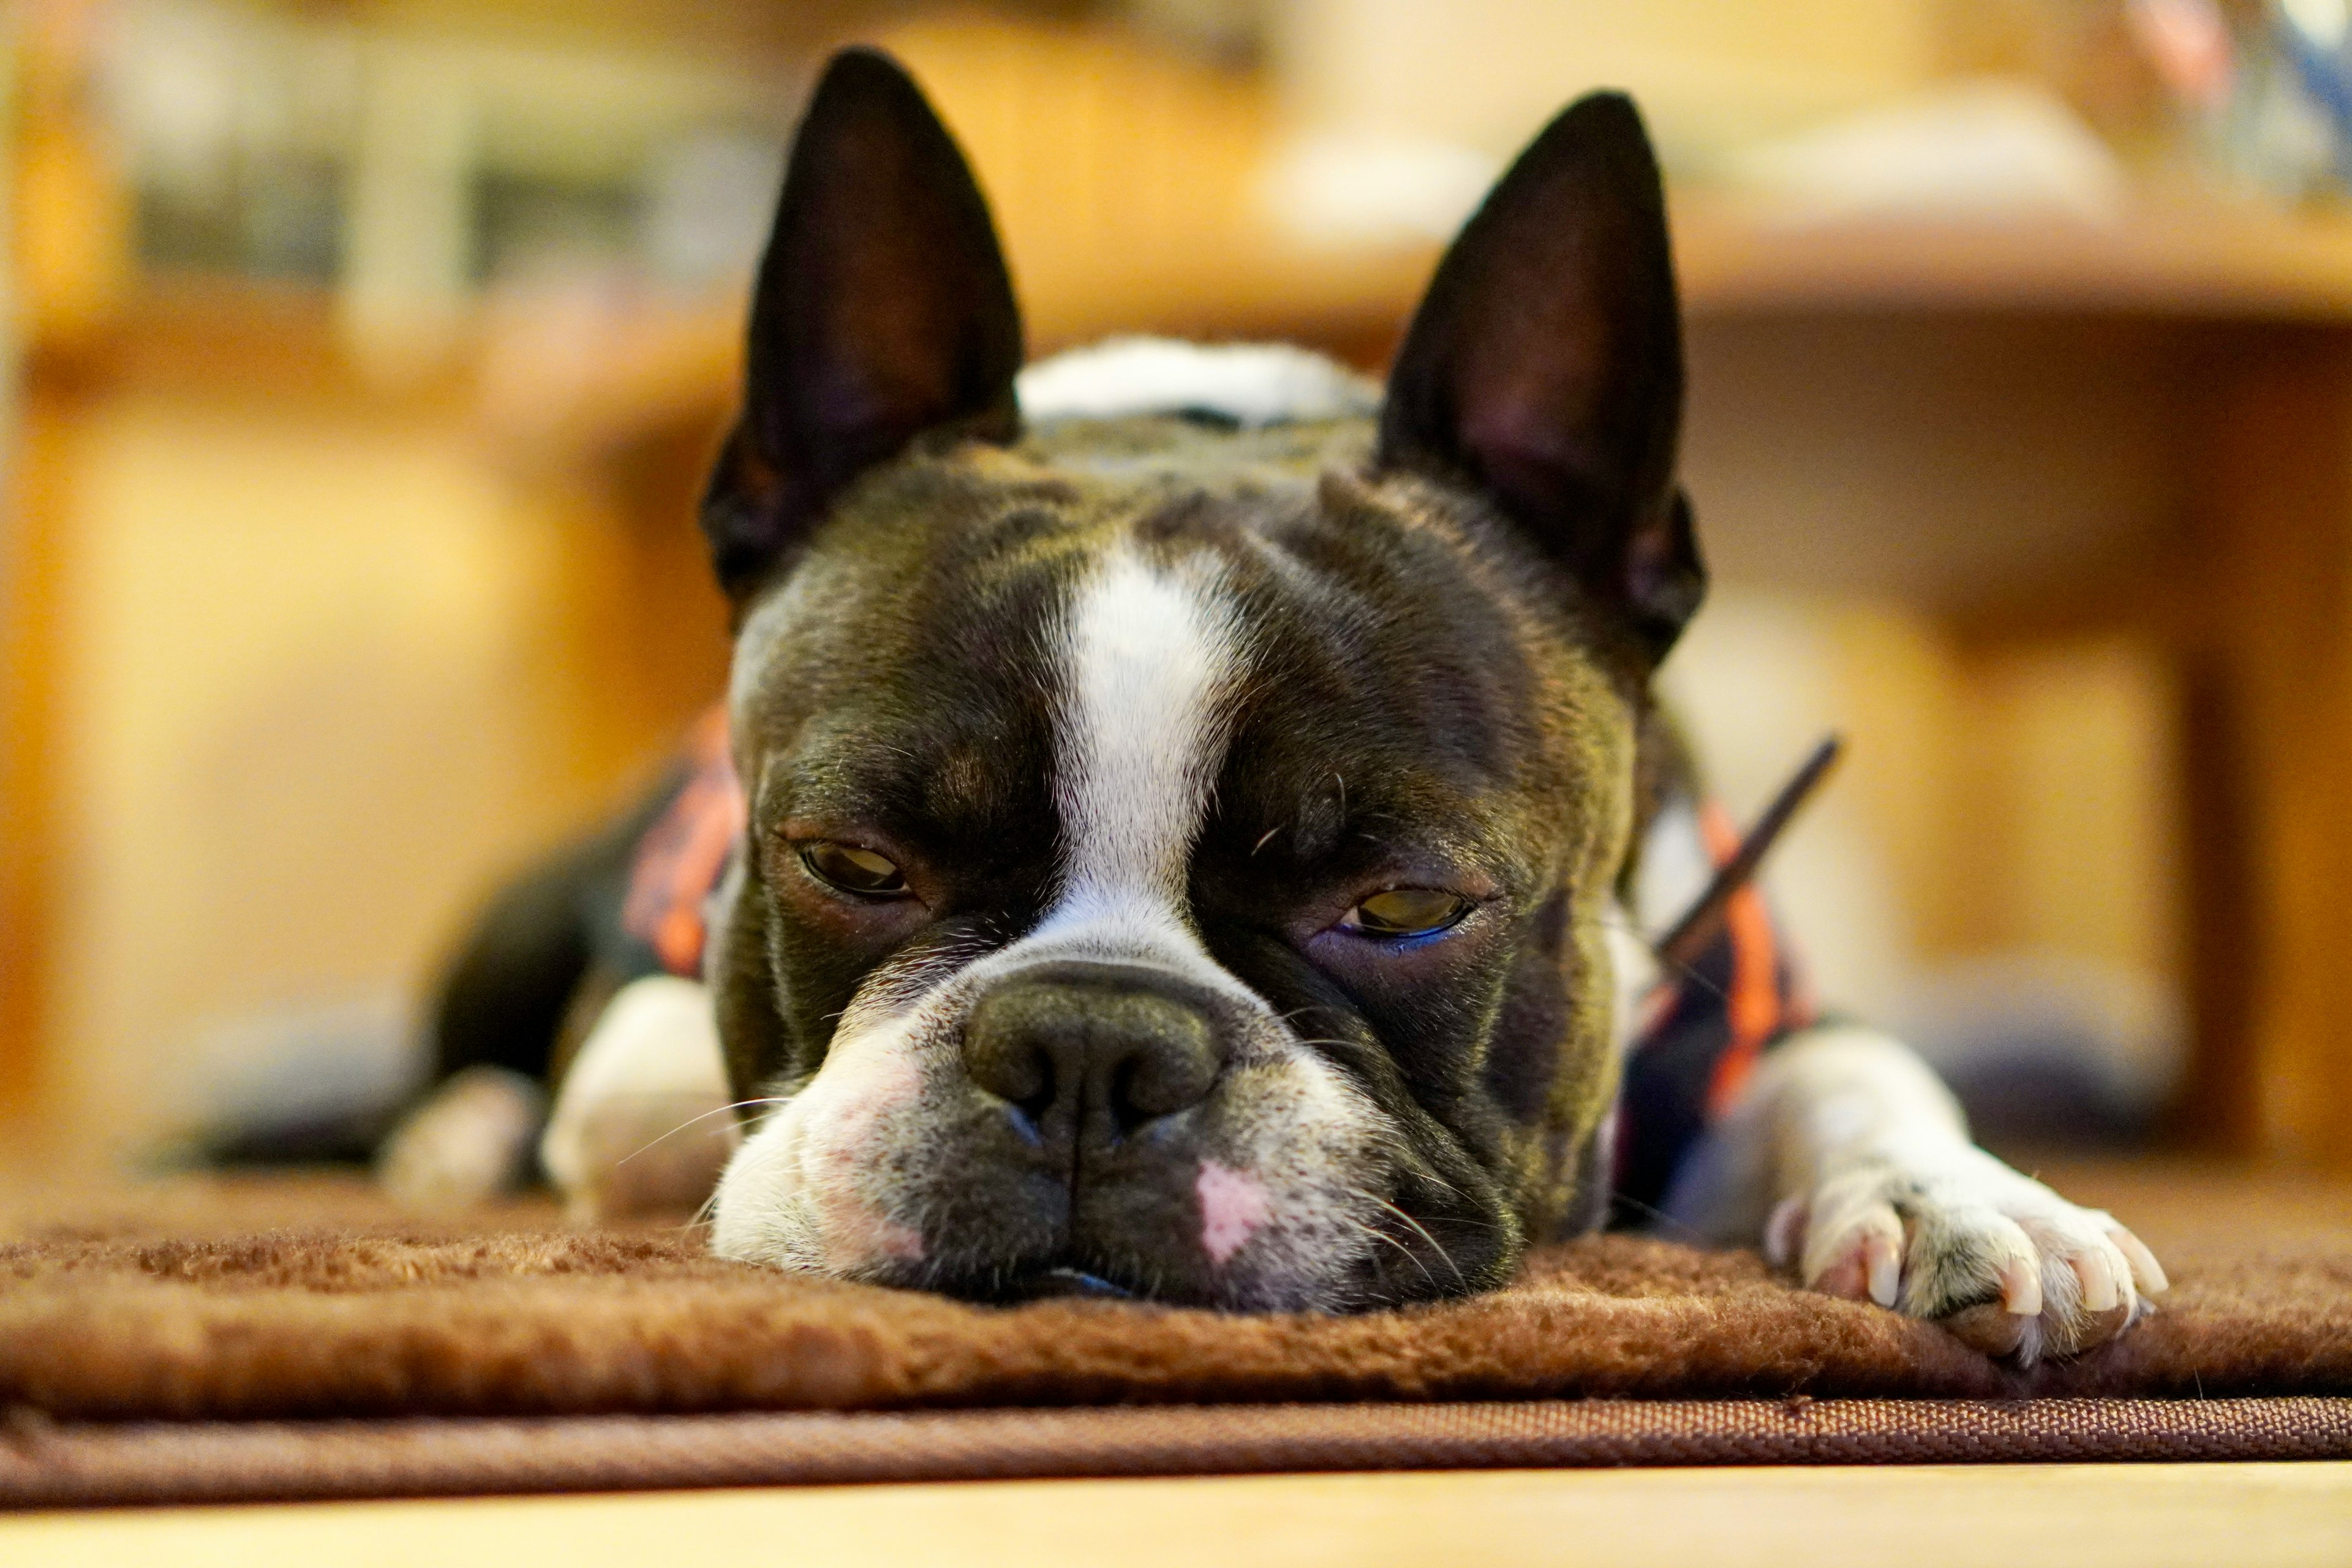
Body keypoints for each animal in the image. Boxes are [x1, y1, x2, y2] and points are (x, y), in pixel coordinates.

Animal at [381, 46, 2163, 1373]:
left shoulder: (1741, 989)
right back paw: (452, 1132)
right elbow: (666, 1108)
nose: (1088, 1046)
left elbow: (1857, 1071)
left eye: (1405, 905)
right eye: (854, 866)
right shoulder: (649, 1023)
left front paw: (1962, 1200)